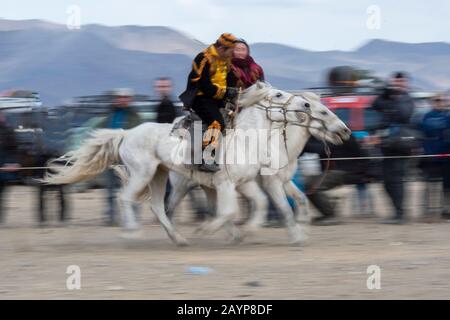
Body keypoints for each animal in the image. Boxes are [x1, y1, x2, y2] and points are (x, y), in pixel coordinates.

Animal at [44, 82, 350, 245]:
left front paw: (294, 232)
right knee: (126, 198)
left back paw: (178, 238)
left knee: (159, 206)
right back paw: (133, 233)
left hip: (161, 177)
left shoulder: (249, 183)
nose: (345, 131)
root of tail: (126, 134)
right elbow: (239, 210)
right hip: (144, 174)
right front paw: (211, 230)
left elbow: (277, 204)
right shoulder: (245, 183)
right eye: (277, 95)